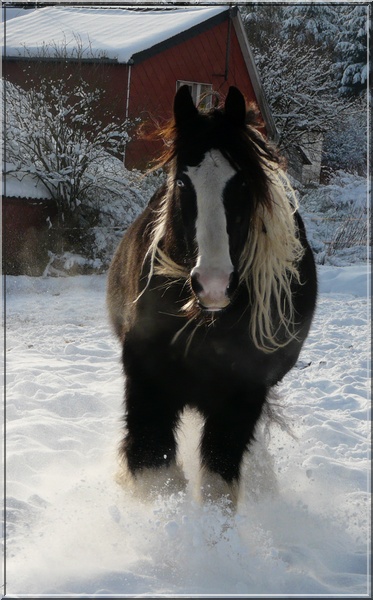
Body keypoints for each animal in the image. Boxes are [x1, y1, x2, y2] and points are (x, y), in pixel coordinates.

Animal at [107, 86, 316, 504]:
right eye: (182, 183)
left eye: (242, 184)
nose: (214, 284)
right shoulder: (148, 384)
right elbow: (154, 471)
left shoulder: (241, 397)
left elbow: (217, 487)